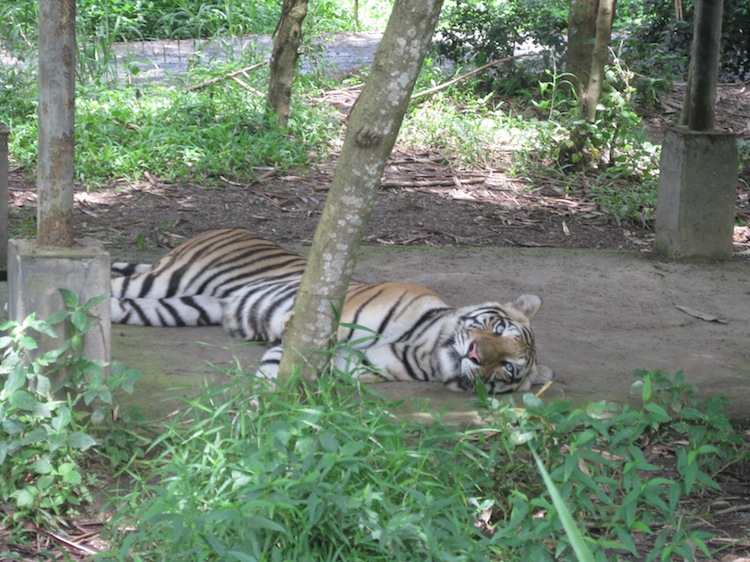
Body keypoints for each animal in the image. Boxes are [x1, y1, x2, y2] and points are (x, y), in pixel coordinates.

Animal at [110, 225, 552, 392]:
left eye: (508, 367)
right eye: (497, 329)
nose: (475, 354)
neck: (424, 347)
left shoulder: (342, 364)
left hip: (183, 306)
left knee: (120, 304)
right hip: (170, 279)